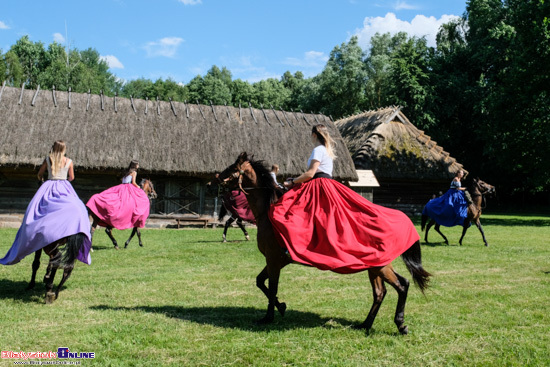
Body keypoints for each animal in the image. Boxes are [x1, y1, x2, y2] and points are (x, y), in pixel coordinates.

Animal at [218, 153, 434, 336]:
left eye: (232, 168)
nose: (218, 179)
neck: (267, 213)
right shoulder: (277, 261)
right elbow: (261, 282)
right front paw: (281, 307)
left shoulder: (273, 260)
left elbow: (271, 288)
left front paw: (269, 317)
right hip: (375, 266)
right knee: (380, 293)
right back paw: (365, 324)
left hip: (381, 267)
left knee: (402, 285)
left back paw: (400, 324)